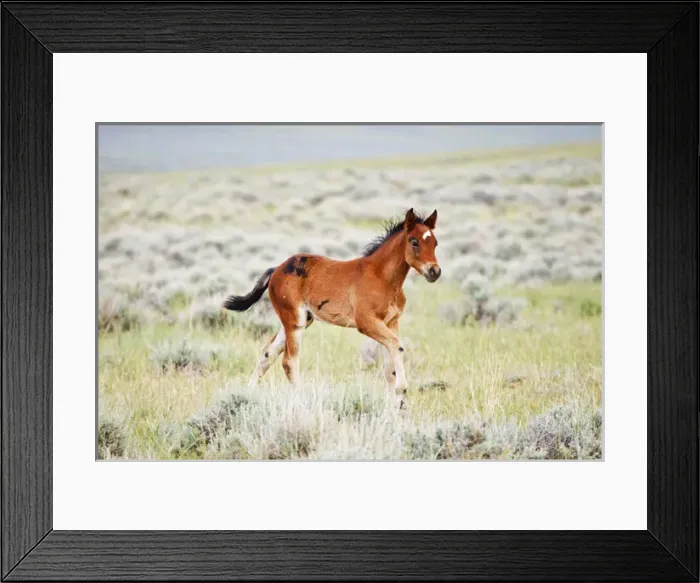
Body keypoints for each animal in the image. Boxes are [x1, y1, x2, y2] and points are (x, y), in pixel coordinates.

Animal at [222, 208, 441, 406]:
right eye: (414, 241)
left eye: (435, 243)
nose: (434, 271)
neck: (383, 278)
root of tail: (276, 270)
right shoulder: (367, 322)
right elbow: (398, 346)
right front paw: (401, 394)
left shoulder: (391, 322)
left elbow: (390, 365)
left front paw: (395, 408)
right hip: (294, 321)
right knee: (289, 361)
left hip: (300, 321)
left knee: (267, 354)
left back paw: (248, 394)